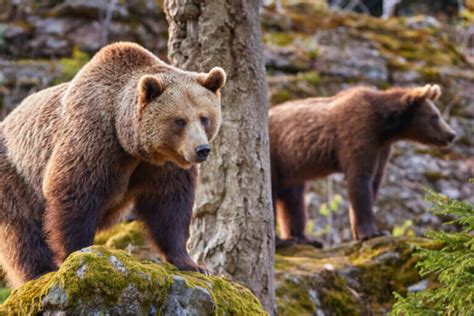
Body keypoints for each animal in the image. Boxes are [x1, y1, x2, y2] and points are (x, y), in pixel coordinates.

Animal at [0, 42, 228, 288]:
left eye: (204, 118)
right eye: (180, 120)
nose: (201, 149)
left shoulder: (163, 166)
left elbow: (170, 205)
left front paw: (193, 264)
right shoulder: (94, 141)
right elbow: (75, 195)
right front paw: (76, 254)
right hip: (16, 181)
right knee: (24, 235)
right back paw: (38, 272)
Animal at [272, 85, 458, 246]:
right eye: (434, 116)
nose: (451, 134)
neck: (385, 127)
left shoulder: (381, 148)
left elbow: (374, 181)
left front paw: (364, 232)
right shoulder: (358, 133)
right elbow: (360, 179)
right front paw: (371, 232)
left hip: (291, 170)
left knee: (293, 200)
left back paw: (304, 238)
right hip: (277, 157)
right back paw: (281, 241)